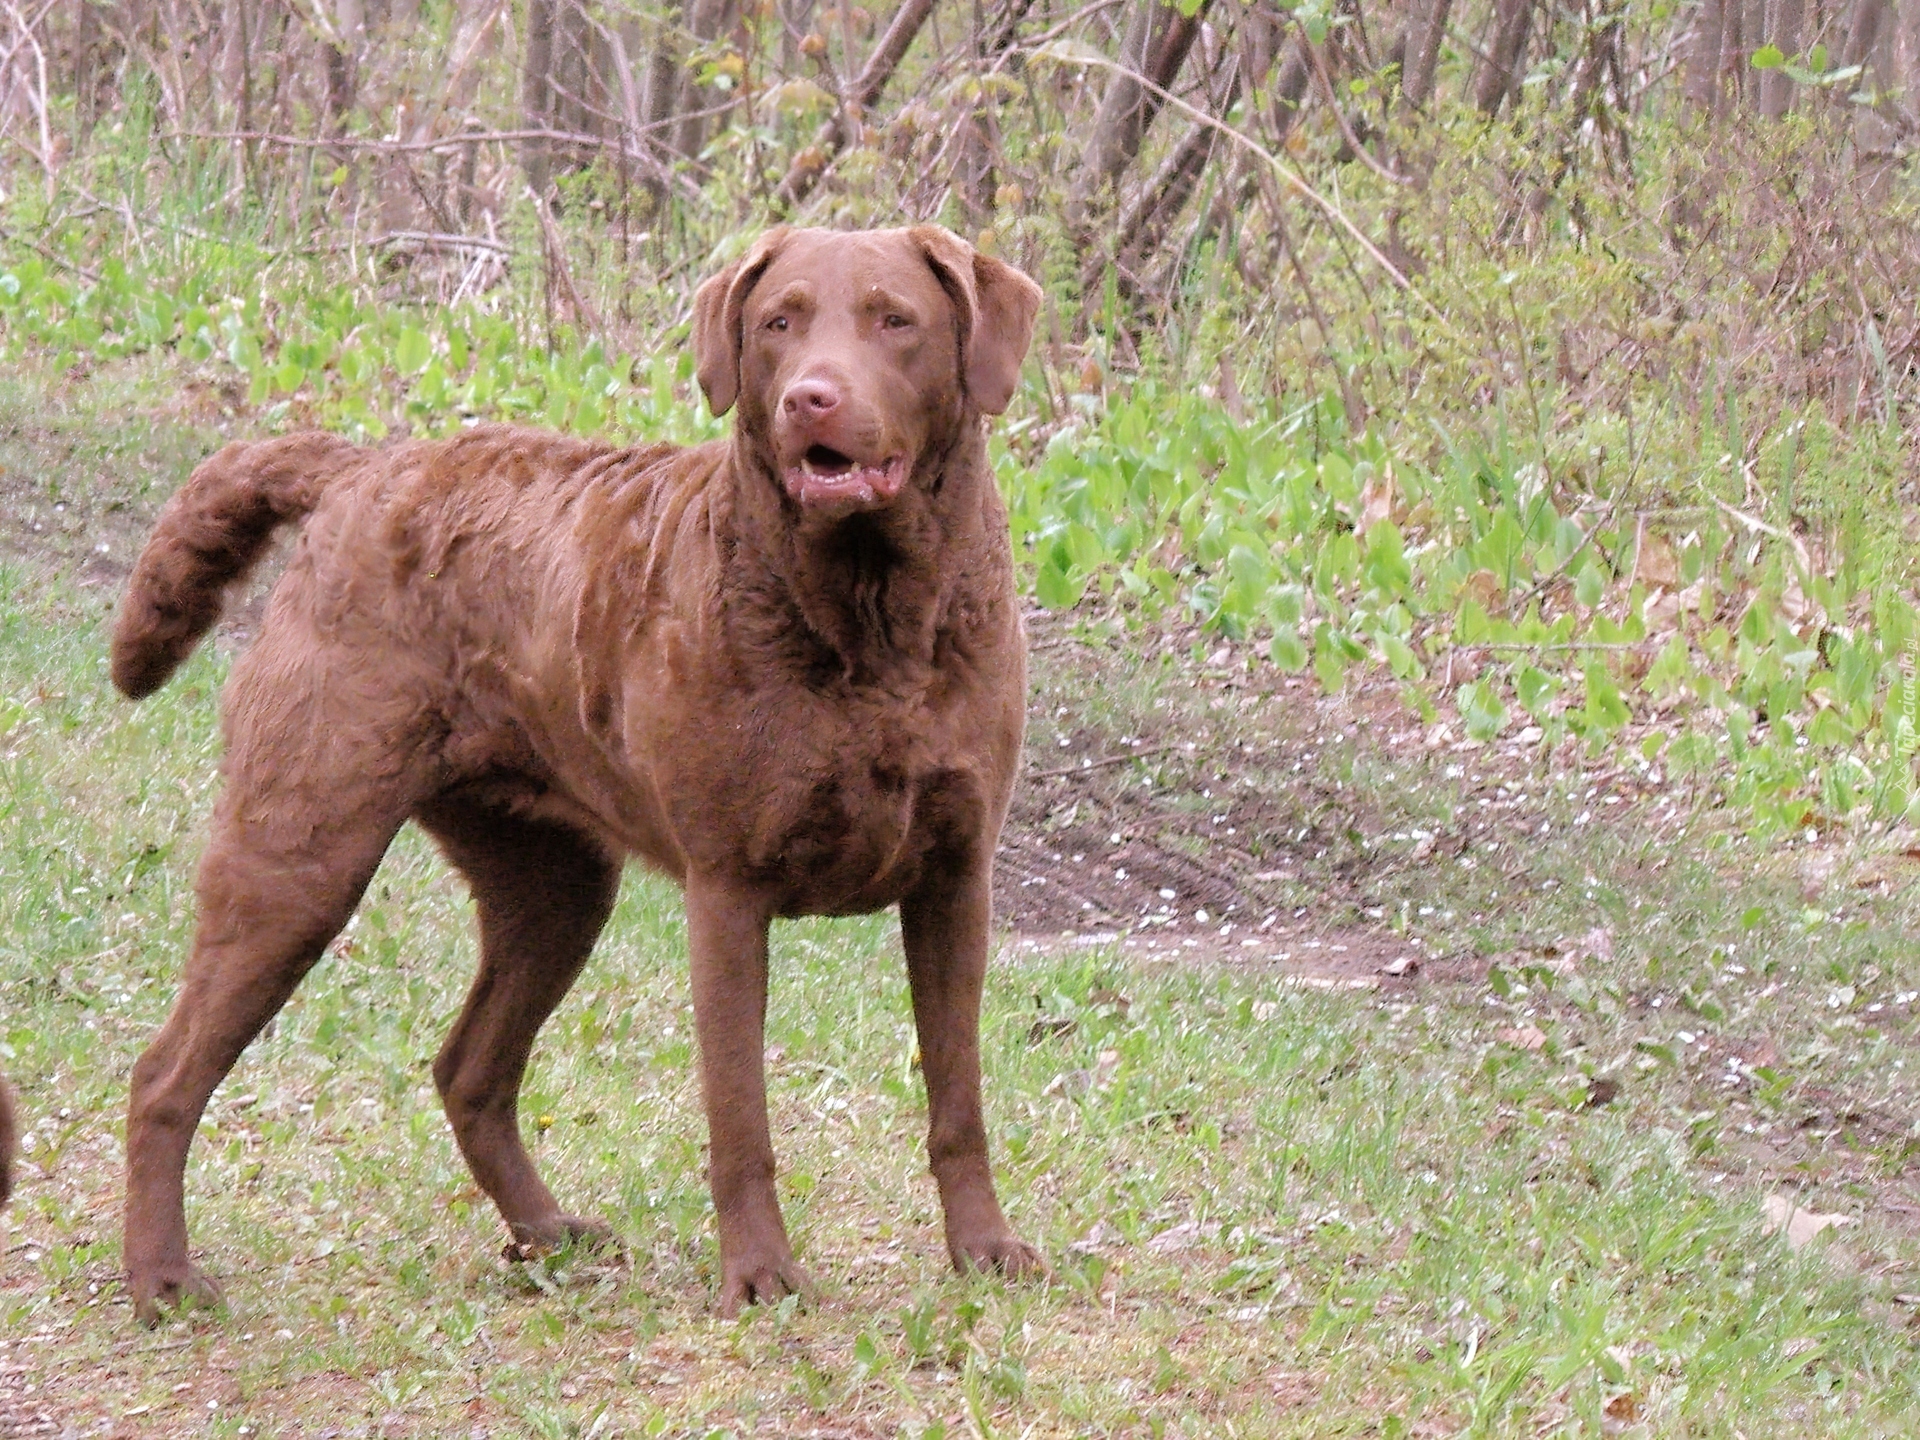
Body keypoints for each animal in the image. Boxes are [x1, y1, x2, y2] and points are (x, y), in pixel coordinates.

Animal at [112, 228, 1044, 1328]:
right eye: (779, 322)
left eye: (895, 320)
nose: (809, 398)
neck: (872, 622)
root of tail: (362, 467)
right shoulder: (729, 891)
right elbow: (740, 1116)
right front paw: (759, 1277)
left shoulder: (955, 877)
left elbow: (959, 1098)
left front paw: (983, 1248)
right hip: (299, 849)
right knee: (164, 1074)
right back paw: (161, 1278)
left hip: (554, 882)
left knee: (468, 1068)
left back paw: (547, 1232)